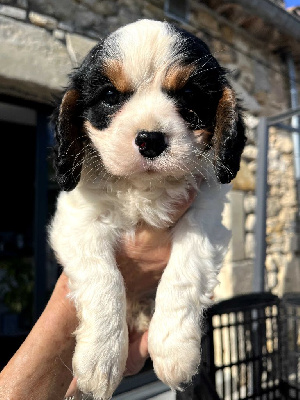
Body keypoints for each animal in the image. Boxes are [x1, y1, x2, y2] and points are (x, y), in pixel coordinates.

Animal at [49, 18, 246, 400]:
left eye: (188, 96)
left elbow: (183, 275)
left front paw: (174, 350)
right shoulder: (77, 220)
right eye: (110, 96)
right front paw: (100, 357)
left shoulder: (205, 220)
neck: (145, 187)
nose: (150, 140)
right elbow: (103, 277)